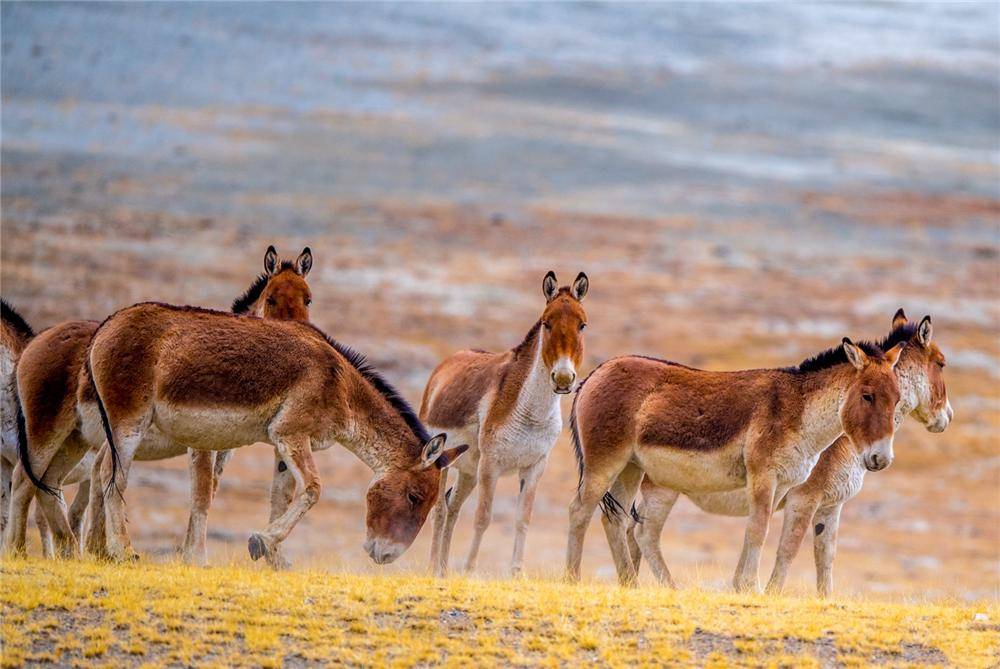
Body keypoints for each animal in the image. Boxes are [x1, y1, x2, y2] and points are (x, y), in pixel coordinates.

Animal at [84, 306, 466, 560]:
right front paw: (261, 542)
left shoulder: (285, 444)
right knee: (112, 476)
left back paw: (99, 551)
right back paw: (123, 551)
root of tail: (106, 326)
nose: (386, 556)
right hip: (129, 423)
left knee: (101, 469)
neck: (339, 383)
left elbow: (284, 495)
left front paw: (273, 555)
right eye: (415, 497)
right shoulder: (290, 432)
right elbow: (313, 489)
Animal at [420, 270, 584, 576]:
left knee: (451, 506)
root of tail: (449, 361)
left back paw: (444, 570)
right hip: (445, 461)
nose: (563, 379)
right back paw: (433, 570)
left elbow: (523, 519)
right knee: (439, 510)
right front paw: (469, 571)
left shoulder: (535, 467)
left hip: (468, 470)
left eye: (582, 325)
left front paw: (516, 573)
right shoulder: (491, 464)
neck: (531, 413)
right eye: (547, 323)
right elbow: (483, 517)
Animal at [572, 334, 908, 588]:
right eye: (867, 396)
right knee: (580, 512)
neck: (798, 411)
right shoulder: (764, 477)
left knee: (616, 521)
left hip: (631, 469)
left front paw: (743, 587)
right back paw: (571, 578)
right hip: (605, 463)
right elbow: (758, 530)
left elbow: (757, 530)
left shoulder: (781, 485)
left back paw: (632, 585)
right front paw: (752, 588)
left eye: (897, 399)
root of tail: (596, 373)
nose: (881, 458)